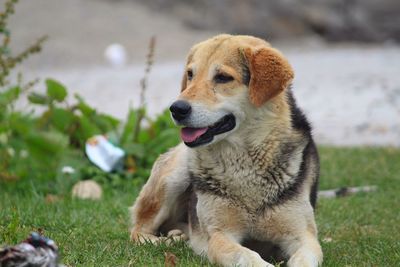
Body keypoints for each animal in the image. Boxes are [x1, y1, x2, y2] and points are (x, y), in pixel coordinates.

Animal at [130, 34, 324, 266]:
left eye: (223, 77)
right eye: (190, 74)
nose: (176, 109)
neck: (244, 163)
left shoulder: (304, 236)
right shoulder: (219, 234)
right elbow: (246, 255)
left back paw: (178, 235)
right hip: (174, 176)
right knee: (138, 230)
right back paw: (163, 241)